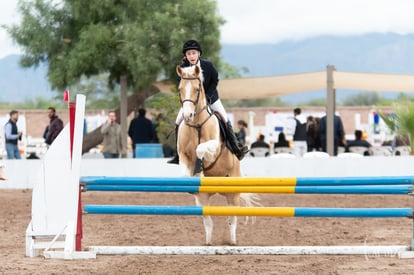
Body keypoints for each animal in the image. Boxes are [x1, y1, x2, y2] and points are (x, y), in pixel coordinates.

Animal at [176, 65, 260, 246]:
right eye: (180, 89)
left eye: (197, 89)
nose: (187, 116)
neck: (197, 124)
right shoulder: (182, 153)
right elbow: (185, 170)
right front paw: (194, 177)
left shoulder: (213, 149)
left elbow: (200, 149)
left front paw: (199, 169)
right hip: (203, 199)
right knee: (208, 220)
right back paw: (208, 242)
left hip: (233, 193)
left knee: (232, 218)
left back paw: (232, 241)